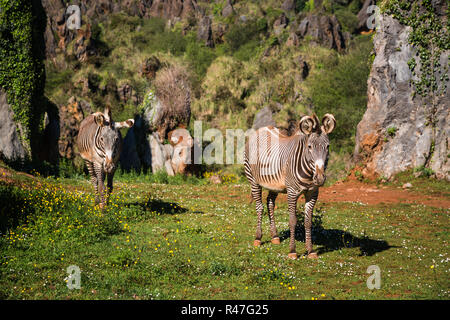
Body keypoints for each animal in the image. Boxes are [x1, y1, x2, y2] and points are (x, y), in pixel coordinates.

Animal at [244, 114, 336, 258]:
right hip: (253, 180)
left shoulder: (312, 193)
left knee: (270, 203)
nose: (320, 178)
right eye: (309, 146)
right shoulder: (292, 192)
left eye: (327, 146)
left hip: (274, 184)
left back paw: (275, 236)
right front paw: (292, 251)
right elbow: (293, 221)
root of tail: (261, 130)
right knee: (259, 207)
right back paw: (258, 238)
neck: (309, 174)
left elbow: (308, 222)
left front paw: (310, 251)